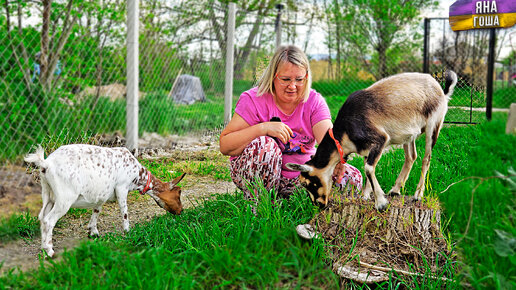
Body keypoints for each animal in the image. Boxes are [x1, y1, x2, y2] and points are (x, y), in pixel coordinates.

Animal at [24, 144, 185, 256]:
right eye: (178, 192)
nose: (181, 211)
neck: (138, 175)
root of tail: (46, 164)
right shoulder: (121, 187)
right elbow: (124, 211)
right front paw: (128, 231)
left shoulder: (102, 193)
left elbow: (97, 209)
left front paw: (93, 232)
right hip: (64, 197)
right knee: (49, 220)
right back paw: (49, 251)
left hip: (48, 194)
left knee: (42, 217)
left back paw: (43, 247)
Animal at [288, 70, 458, 211]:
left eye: (308, 183)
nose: (319, 204)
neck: (343, 133)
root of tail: (441, 91)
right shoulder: (367, 149)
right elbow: (368, 168)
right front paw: (365, 196)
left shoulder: (380, 139)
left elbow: (368, 168)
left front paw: (381, 203)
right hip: (409, 134)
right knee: (411, 156)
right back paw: (395, 190)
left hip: (433, 125)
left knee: (426, 158)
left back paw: (417, 194)